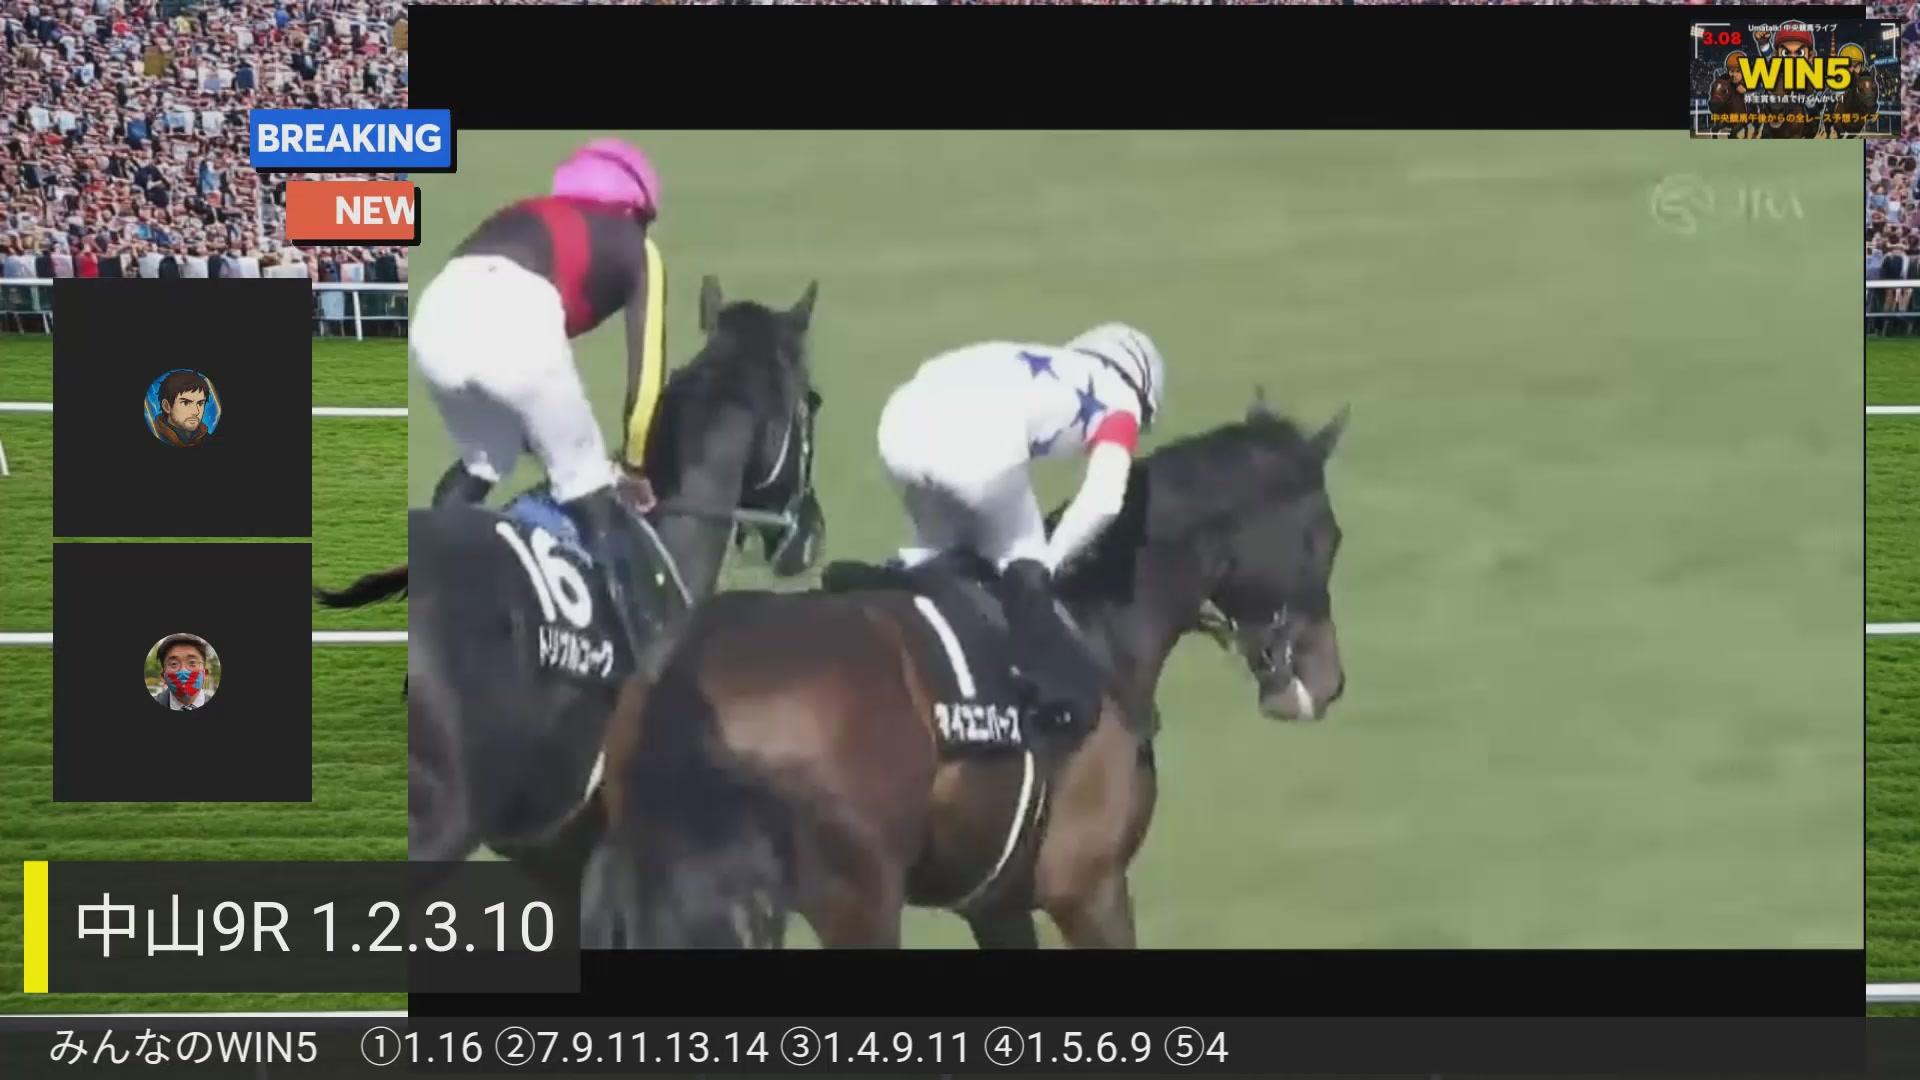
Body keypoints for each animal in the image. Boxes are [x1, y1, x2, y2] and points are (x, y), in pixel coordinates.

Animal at [582, 390, 1349, 948]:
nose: (1329, 680)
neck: (1094, 623)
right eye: (1330, 536)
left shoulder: (996, 901)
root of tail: (686, 674)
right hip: (856, 900)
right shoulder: (1089, 886)